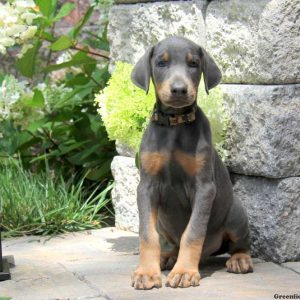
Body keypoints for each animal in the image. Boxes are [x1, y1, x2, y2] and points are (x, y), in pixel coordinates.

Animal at [130, 36, 252, 290]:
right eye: (161, 63)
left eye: (194, 63)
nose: (178, 89)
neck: (175, 124)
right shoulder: (146, 186)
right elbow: (147, 234)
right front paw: (146, 273)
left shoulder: (204, 187)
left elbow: (193, 232)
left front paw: (185, 271)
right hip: (164, 223)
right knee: (170, 242)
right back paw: (167, 257)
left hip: (236, 214)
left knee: (240, 244)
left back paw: (240, 260)